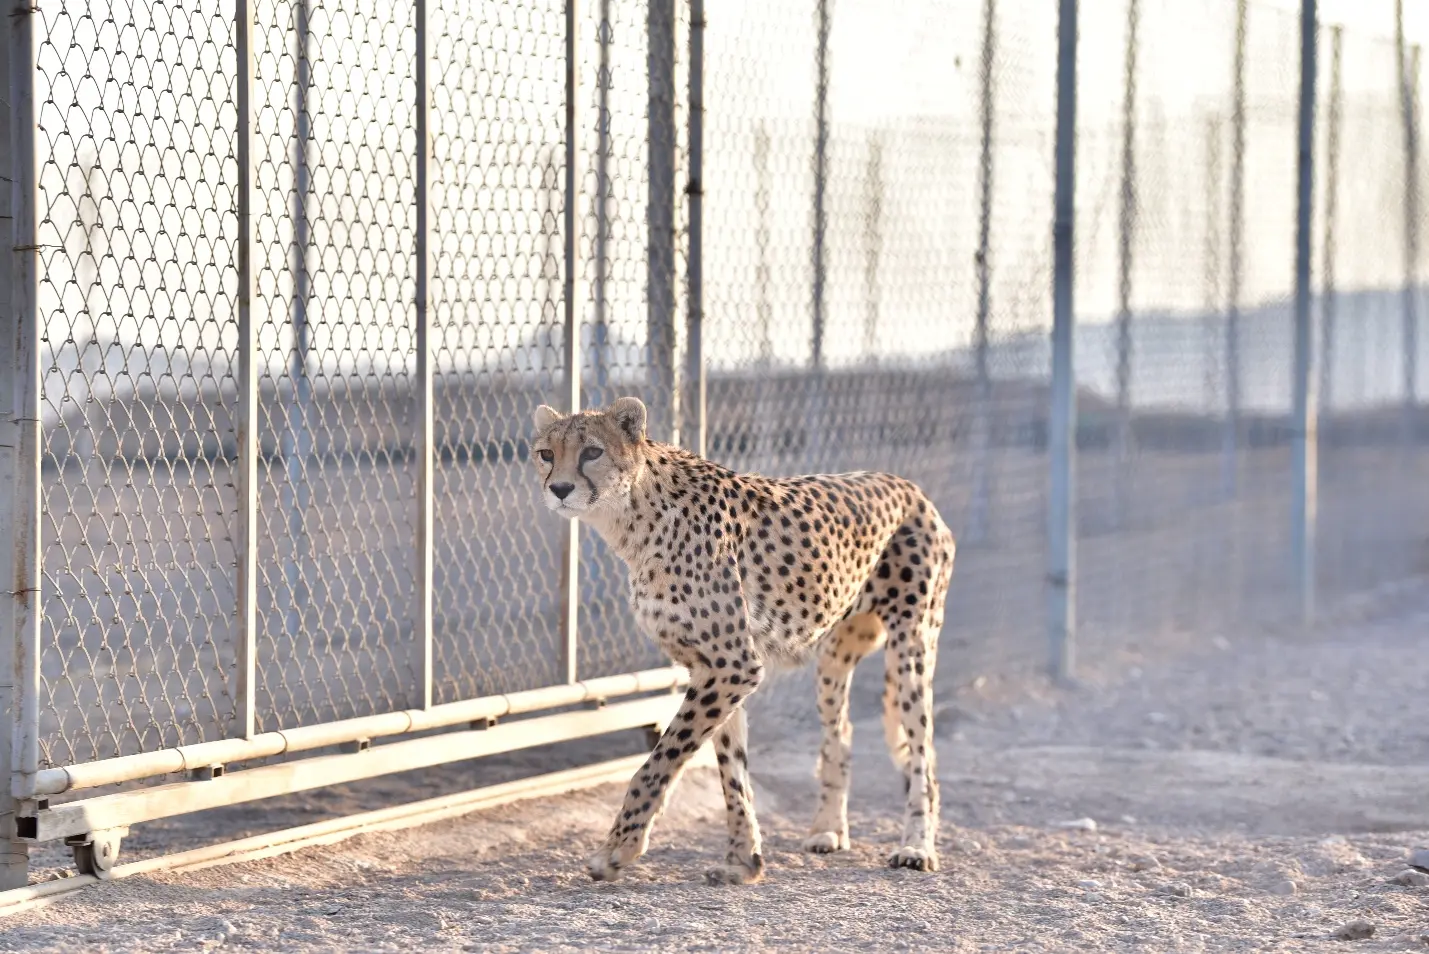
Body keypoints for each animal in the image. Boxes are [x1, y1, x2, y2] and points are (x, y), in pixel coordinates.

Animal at [530, 396, 955, 885]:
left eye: (592, 452)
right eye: (546, 453)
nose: (560, 489)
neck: (634, 516)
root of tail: (910, 487)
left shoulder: (732, 664)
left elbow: (657, 763)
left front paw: (617, 849)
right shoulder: (711, 666)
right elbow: (730, 768)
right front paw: (743, 859)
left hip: (912, 643)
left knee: (925, 753)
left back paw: (916, 846)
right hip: (833, 657)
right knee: (841, 734)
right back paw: (828, 830)